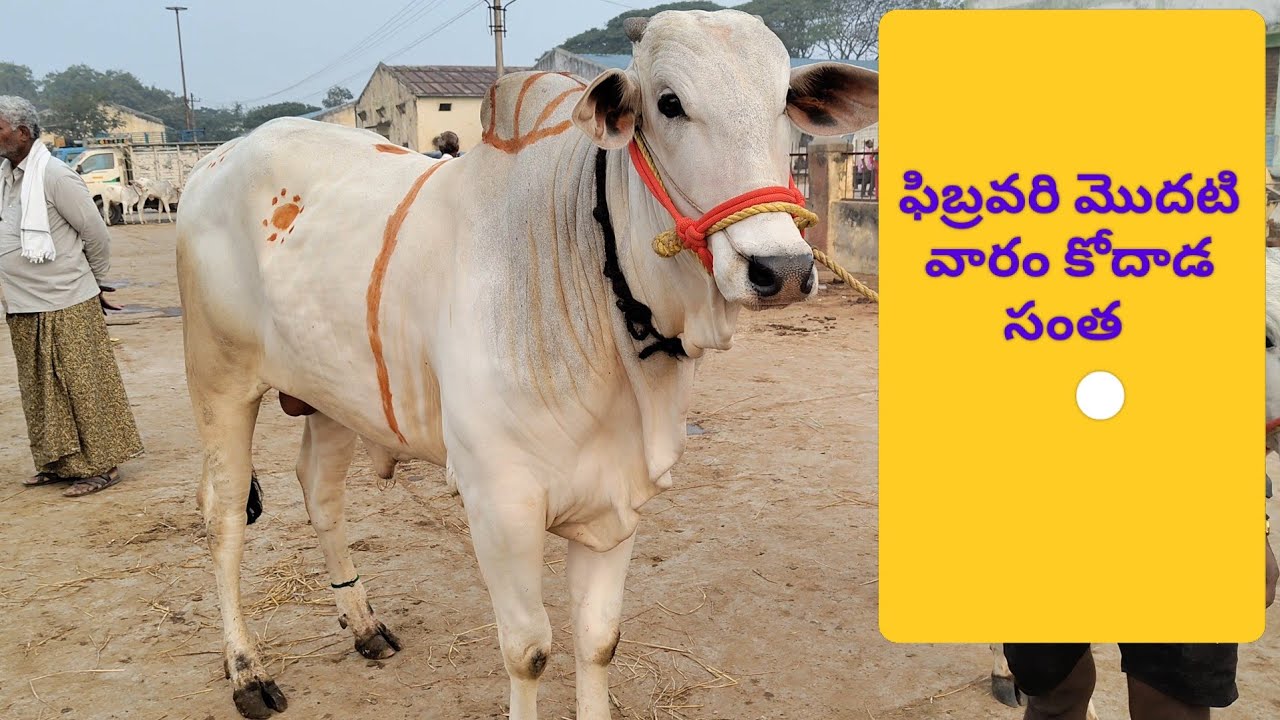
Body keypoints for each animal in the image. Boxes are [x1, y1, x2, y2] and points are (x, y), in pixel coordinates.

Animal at [175, 9, 877, 719]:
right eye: (669, 103)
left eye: (782, 101)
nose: (781, 269)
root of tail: (216, 160)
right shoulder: (499, 503)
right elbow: (529, 650)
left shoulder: (615, 502)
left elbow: (598, 640)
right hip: (219, 381)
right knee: (223, 516)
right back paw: (246, 672)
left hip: (330, 398)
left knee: (320, 493)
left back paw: (364, 624)